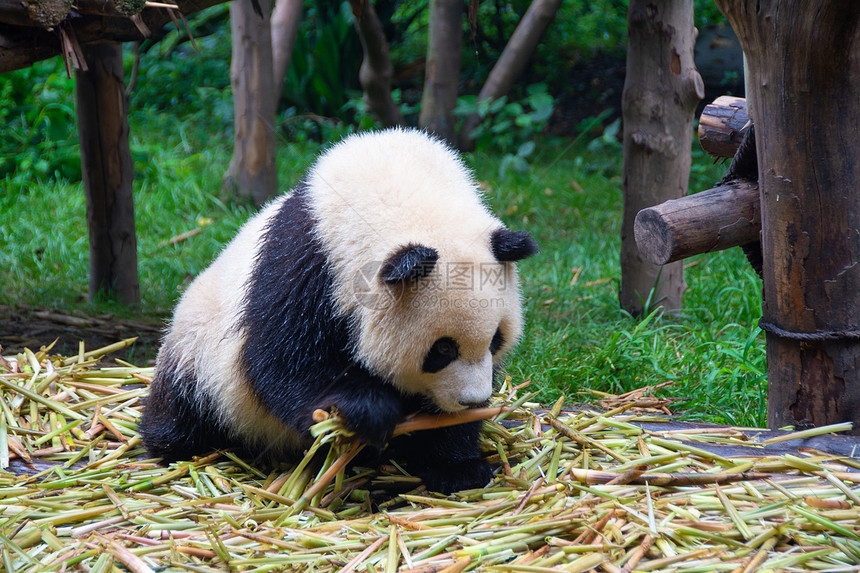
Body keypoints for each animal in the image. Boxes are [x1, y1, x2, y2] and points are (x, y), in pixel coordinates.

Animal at [140, 126, 536, 492]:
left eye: (496, 340)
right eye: (441, 350)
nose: (473, 400)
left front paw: (458, 466)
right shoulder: (307, 262)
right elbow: (282, 359)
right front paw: (368, 412)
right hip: (198, 349)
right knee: (184, 409)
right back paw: (172, 442)